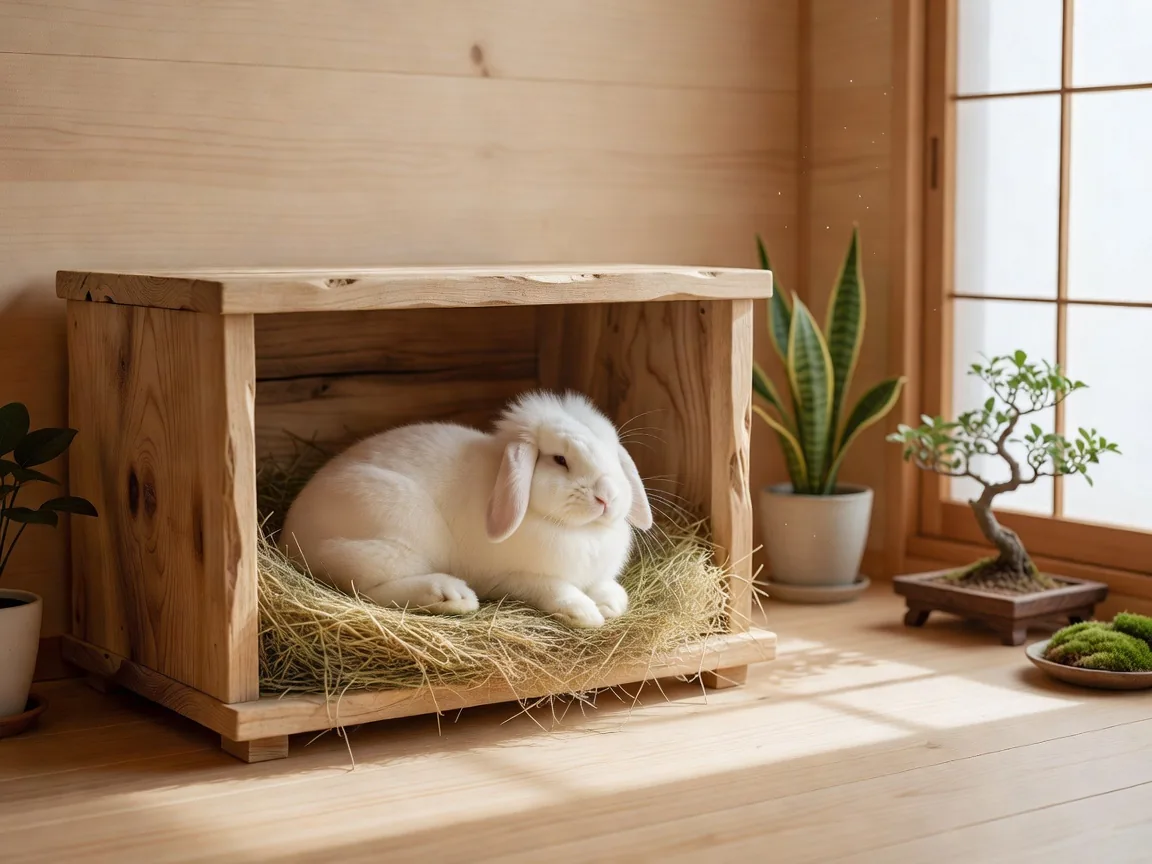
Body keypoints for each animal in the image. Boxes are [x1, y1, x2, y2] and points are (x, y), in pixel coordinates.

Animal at [279, 390, 654, 628]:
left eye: (613, 453)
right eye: (559, 459)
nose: (607, 497)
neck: (579, 530)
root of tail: (290, 537)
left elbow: (607, 587)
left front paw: (610, 603)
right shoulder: (513, 579)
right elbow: (555, 589)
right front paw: (586, 614)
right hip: (394, 534)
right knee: (368, 591)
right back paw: (449, 595)